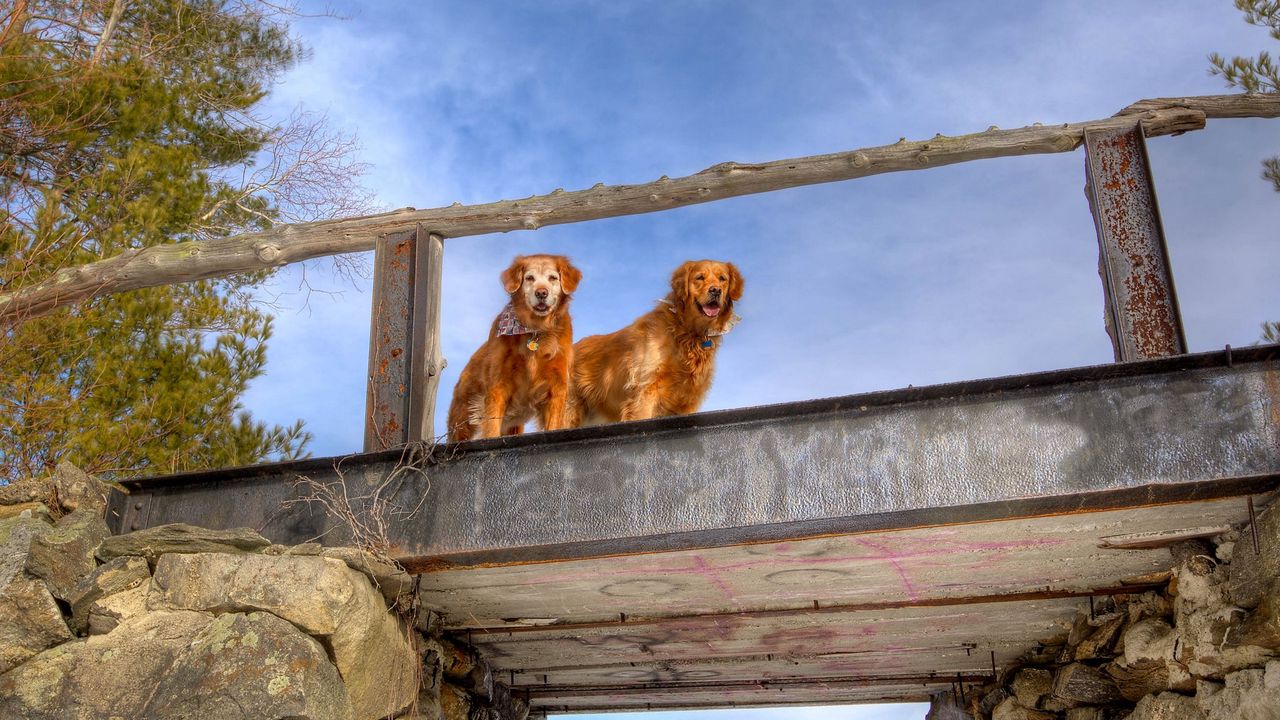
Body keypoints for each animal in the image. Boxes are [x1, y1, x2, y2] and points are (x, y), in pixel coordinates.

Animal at [442, 252, 578, 443]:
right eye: (529, 278)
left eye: (553, 278)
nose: (541, 293)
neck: (535, 330)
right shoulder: (498, 384)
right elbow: (492, 425)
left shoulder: (556, 386)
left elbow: (553, 423)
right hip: (463, 420)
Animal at [568, 257, 742, 422]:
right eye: (699, 277)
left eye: (722, 278)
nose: (716, 290)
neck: (686, 331)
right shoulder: (645, 391)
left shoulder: (686, 401)